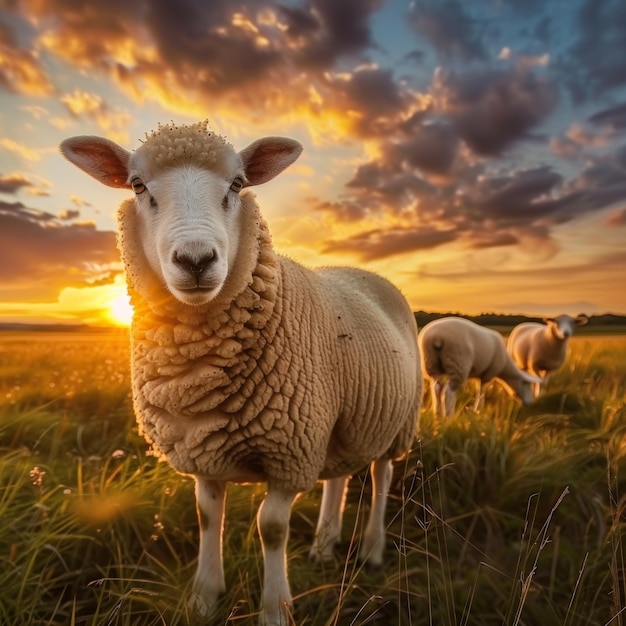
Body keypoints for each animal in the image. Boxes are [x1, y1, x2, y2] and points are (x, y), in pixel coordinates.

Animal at [58, 119, 422, 620]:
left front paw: (274, 609)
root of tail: (364, 272)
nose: (196, 260)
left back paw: (372, 550)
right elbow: (207, 516)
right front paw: (203, 598)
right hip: (340, 419)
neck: (200, 374)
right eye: (137, 185)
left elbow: (271, 528)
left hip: (397, 420)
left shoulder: (291, 448)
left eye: (237, 184)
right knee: (342, 475)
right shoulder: (205, 447)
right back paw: (324, 546)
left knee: (381, 476)